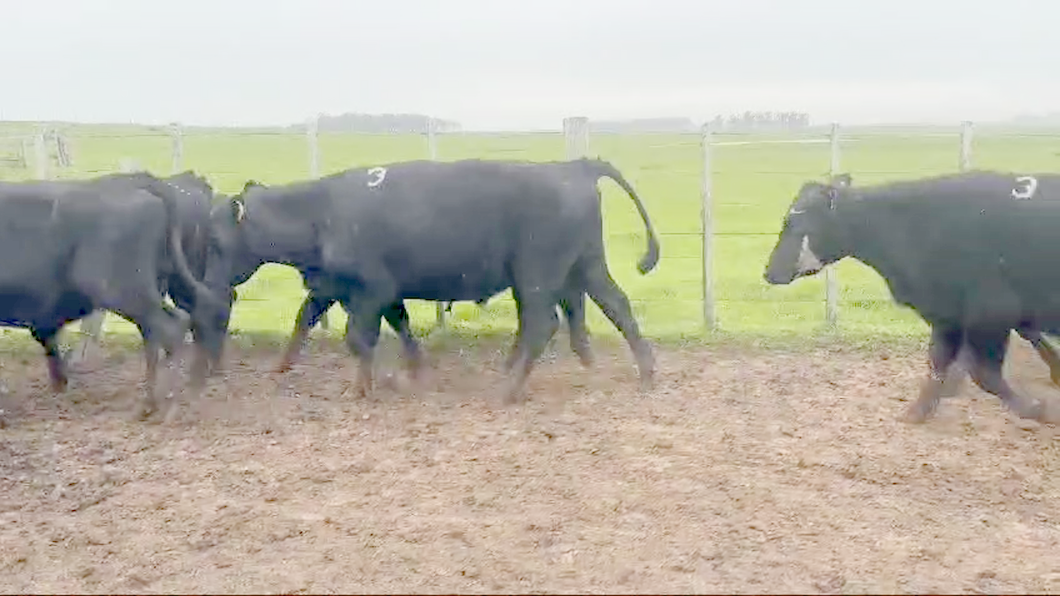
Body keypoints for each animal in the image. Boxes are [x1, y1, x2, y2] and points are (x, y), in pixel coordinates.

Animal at [0, 170, 220, 417]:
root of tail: (139, 180)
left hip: (126, 291)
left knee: (168, 328)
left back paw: (157, 404)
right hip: (162, 285)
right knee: (182, 320)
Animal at [201, 156, 657, 398]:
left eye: (217, 241)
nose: (208, 286)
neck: (323, 214)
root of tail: (570, 166)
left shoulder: (371, 291)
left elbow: (359, 337)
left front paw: (365, 386)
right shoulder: (343, 288)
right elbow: (310, 322)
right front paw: (279, 371)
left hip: (537, 274)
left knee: (543, 324)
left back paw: (509, 389)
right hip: (585, 266)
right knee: (617, 306)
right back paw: (646, 373)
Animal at [763, 171, 1060, 422]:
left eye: (793, 222)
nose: (769, 271)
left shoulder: (990, 313)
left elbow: (984, 373)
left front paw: (1037, 408)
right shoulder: (947, 315)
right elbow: (937, 363)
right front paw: (917, 412)